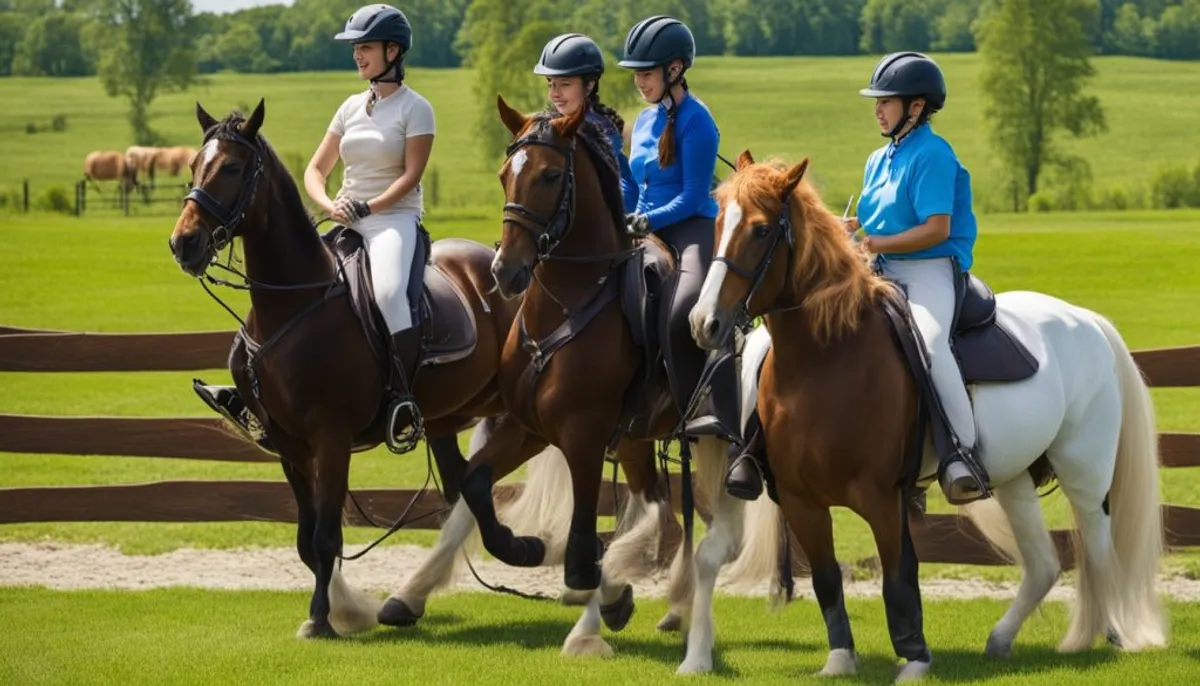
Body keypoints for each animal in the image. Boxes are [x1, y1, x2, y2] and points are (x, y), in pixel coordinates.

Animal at [169, 98, 544, 642]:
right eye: (196, 164)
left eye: (234, 168)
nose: (185, 244)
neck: (292, 304)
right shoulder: (289, 443)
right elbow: (307, 539)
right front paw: (345, 610)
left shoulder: (330, 435)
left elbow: (325, 536)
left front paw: (323, 619)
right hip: (446, 417)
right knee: (465, 486)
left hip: (507, 403)